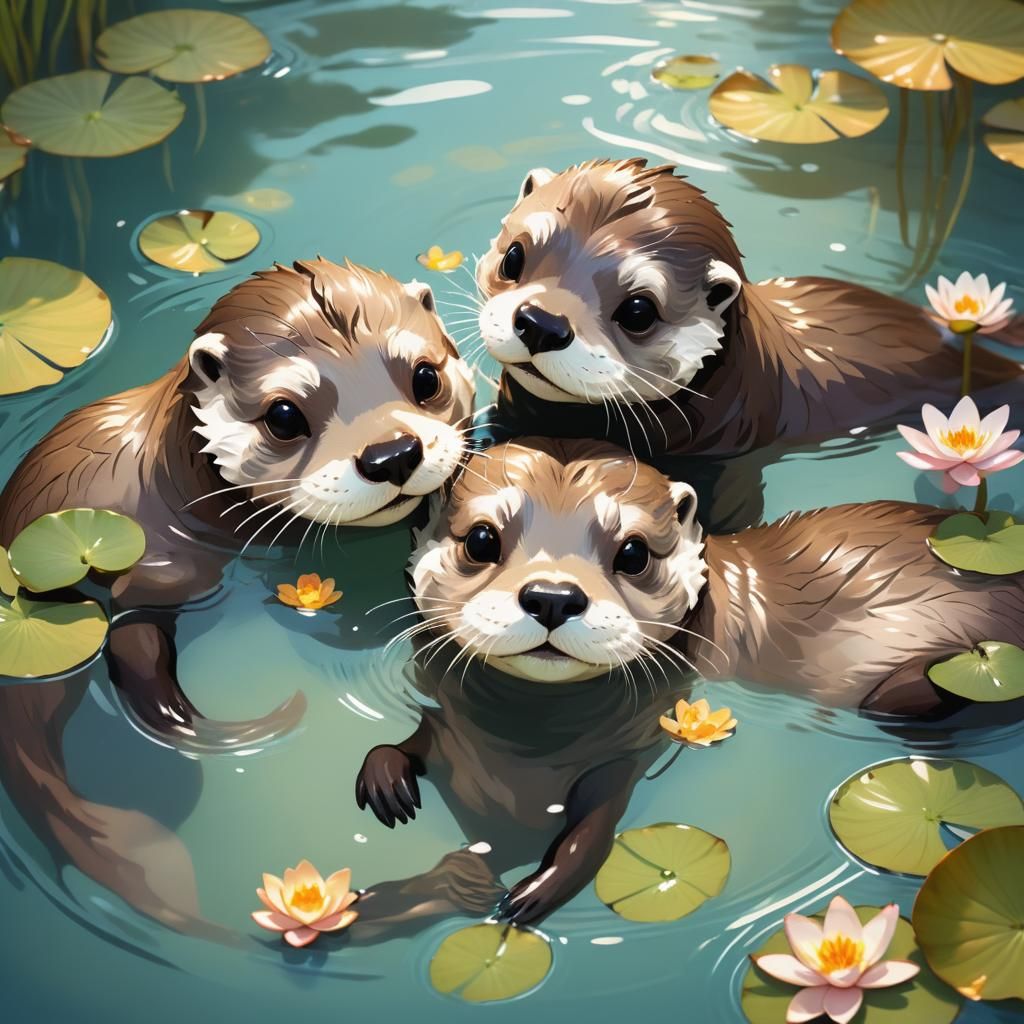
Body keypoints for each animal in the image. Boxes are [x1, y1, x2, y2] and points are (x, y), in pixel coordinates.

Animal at [0, 258, 474, 937]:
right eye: (284, 416)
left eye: (426, 376)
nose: (392, 454)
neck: (176, 476)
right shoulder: (157, 568)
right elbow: (135, 636)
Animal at [353, 437, 1023, 927]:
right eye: (482, 538)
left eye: (632, 552)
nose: (552, 596)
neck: (521, 762)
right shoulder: (447, 727)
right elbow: (408, 742)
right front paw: (385, 779)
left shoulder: (628, 752)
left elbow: (595, 831)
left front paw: (539, 890)